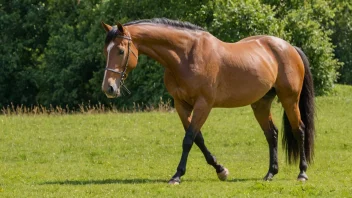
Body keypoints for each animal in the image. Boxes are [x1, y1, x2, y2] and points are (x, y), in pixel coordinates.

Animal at [100, 18, 314, 184]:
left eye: (120, 51)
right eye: (105, 52)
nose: (108, 88)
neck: (185, 56)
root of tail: (289, 47)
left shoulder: (204, 104)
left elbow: (189, 139)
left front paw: (177, 175)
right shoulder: (181, 105)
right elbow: (198, 138)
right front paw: (221, 170)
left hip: (290, 100)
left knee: (299, 130)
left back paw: (302, 173)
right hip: (260, 104)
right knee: (272, 134)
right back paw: (270, 173)